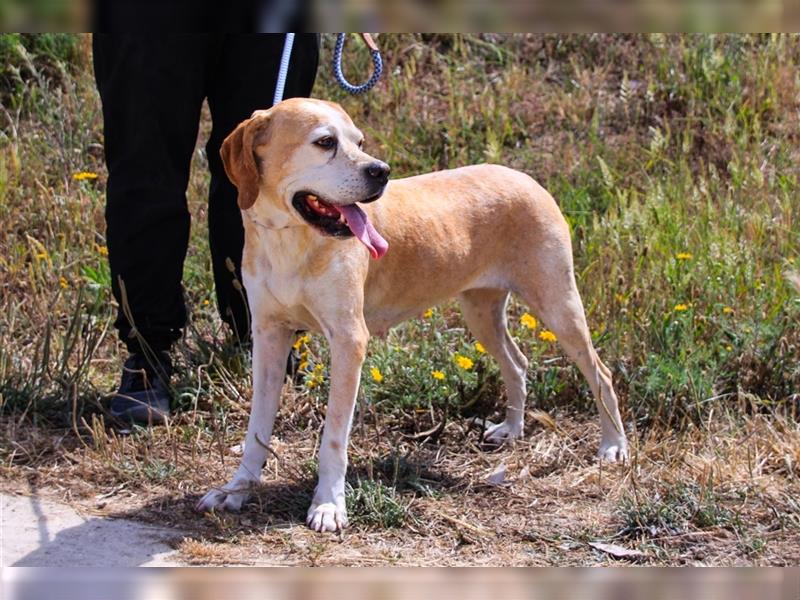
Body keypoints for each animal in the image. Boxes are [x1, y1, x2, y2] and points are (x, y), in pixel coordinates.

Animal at [197, 99, 628, 536]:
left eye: (359, 142)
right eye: (325, 142)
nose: (381, 171)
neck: (289, 240)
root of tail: (526, 178)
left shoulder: (349, 341)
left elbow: (334, 439)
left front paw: (329, 505)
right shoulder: (268, 336)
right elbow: (256, 428)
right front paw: (237, 489)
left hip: (558, 305)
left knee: (601, 373)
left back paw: (613, 445)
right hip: (481, 312)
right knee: (518, 362)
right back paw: (512, 429)